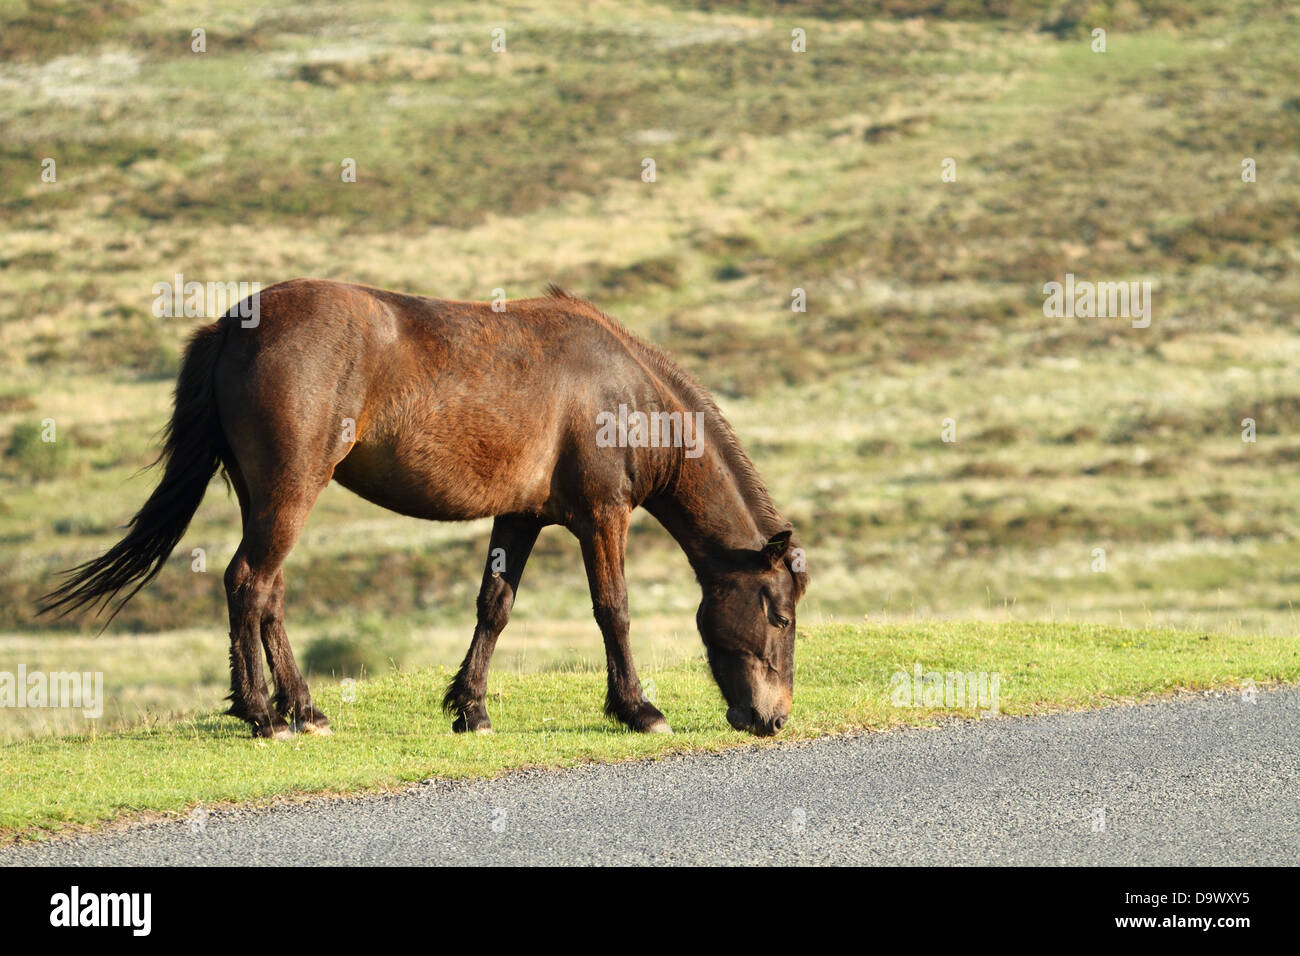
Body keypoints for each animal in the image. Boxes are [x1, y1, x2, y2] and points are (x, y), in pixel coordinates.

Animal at [41, 279, 809, 738]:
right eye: (779, 615)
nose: (772, 719)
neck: (622, 389)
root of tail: (234, 322)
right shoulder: (602, 517)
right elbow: (612, 610)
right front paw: (638, 709)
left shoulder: (521, 517)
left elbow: (494, 607)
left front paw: (470, 707)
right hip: (291, 492)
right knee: (247, 584)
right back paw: (264, 714)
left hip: (266, 498)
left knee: (268, 594)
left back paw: (304, 707)